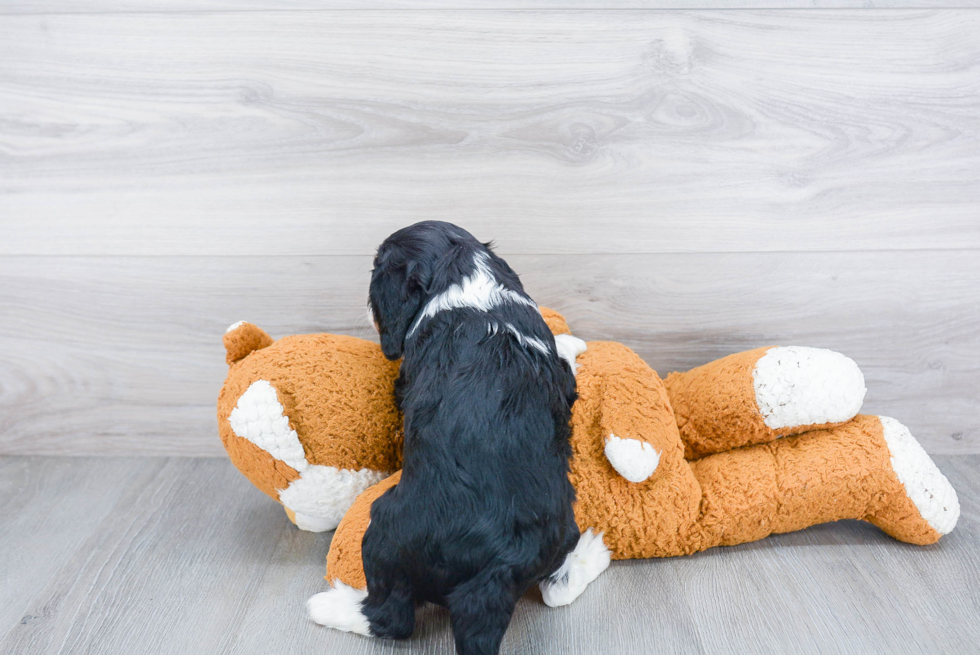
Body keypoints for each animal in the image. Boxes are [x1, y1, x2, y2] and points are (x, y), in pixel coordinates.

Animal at [310, 222, 608, 655]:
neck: (462, 277)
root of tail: (496, 565)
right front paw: (572, 341)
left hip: (383, 532)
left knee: (390, 618)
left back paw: (330, 605)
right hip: (559, 529)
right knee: (556, 588)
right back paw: (592, 553)